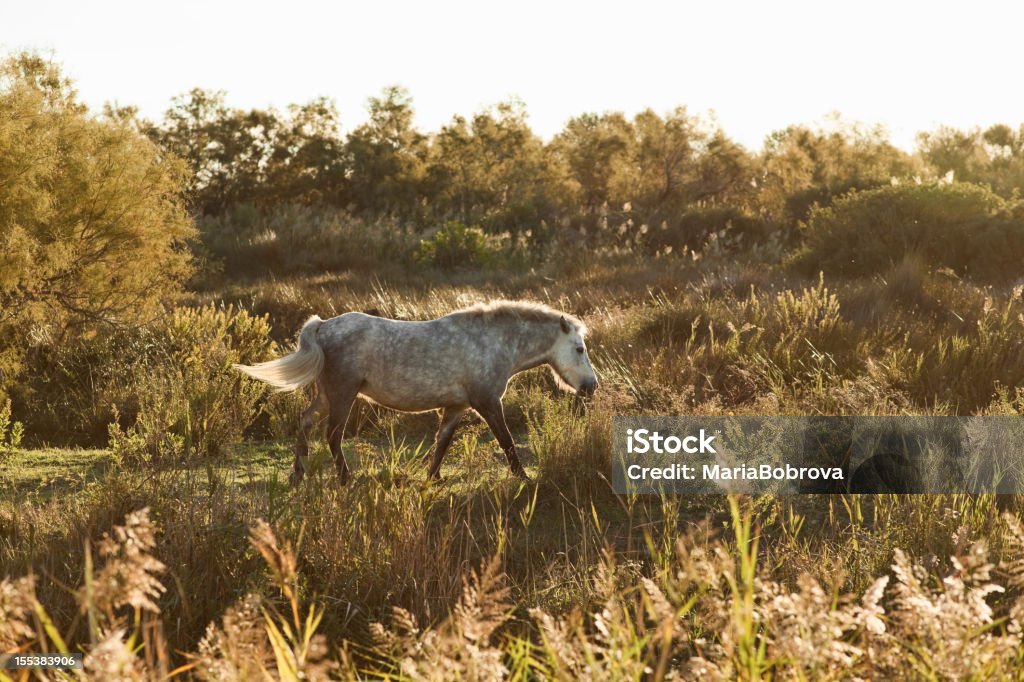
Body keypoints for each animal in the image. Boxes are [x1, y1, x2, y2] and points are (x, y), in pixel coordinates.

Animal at [232, 299, 598, 483]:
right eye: (579, 349)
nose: (591, 386)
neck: (493, 341)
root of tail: (321, 326)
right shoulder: (488, 402)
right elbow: (506, 440)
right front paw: (523, 477)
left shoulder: (457, 407)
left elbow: (442, 443)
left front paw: (433, 478)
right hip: (342, 395)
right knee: (333, 435)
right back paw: (345, 478)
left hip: (325, 396)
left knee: (305, 423)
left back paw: (297, 474)